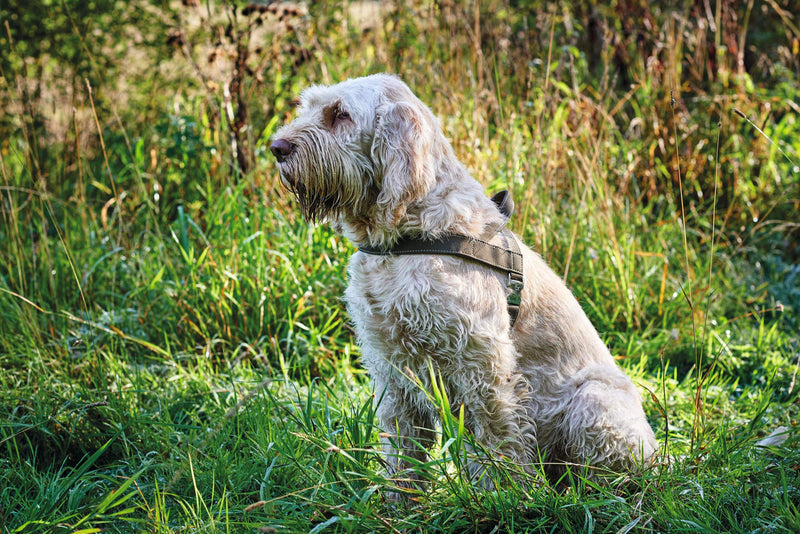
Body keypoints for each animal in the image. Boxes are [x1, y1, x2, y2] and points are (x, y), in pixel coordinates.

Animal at [268, 73, 656, 492]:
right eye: (307, 106)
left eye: (340, 114)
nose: (276, 147)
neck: (404, 239)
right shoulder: (391, 366)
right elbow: (403, 447)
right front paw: (399, 500)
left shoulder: (482, 363)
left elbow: (497, 441)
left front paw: (506, 496)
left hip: (594, 400)